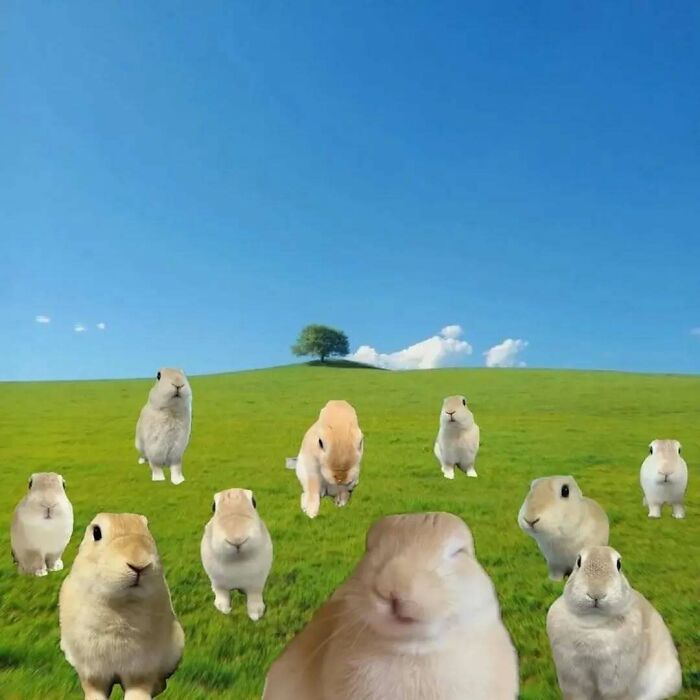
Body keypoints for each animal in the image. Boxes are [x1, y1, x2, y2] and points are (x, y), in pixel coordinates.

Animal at [59, 513, 184, 700]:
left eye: (147, 527)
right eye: (96, 532)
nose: (139, 564)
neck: (121, 603)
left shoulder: (142, 666)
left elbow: (138, 686)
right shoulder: (92, 669)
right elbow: (94, 687)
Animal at [200, 488, 273, 620]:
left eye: (254, 502)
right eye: (213, 507)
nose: (237, 539)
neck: (238, 560)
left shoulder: (256, 584)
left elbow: (254, 597)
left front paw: (256, 614)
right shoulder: (219, 582)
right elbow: (222, 594)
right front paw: (224, 609)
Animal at [547, 545, 682, 700]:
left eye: (619, 564)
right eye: (579, 562)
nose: (596, 593)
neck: (593, 623)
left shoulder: (617, 678)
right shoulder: (571, 678)